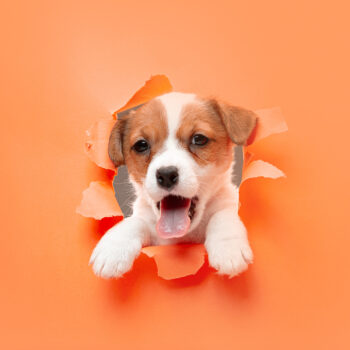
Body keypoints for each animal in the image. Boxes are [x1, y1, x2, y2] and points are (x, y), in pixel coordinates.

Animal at [90, 91, 258, 278]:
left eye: (199, 139)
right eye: (141, 145)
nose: (166, 175)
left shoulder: (228, 202)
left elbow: (222, 214)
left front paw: (228, 246)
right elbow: (134, 222)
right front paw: (114, 248)